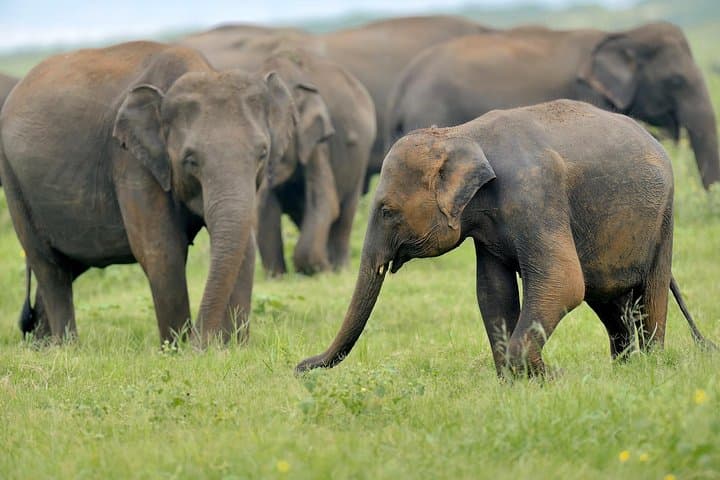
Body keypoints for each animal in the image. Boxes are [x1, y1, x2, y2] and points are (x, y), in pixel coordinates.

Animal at [0, 41, 297, 344]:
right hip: (13, 180)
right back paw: (65, 347)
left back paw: (42, 345)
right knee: (49, 267)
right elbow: (162, 251)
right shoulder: (131, 162)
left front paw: (232, 347)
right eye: (191, 160)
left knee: (67, 265)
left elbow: (245, 247)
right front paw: (178, 348)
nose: (202, 342)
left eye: (262, 153)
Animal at [181, 34, 377, 275]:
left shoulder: (318, 141)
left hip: (361, 159)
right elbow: (267, 209)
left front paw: (319, 269)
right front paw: (277, 276)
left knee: (346, 211)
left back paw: (339, 268)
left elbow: (325, 199)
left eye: (264, 150)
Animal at [296, 100, 715, 377]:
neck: (461, 133)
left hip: (664, 218)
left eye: (386, 210)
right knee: (608, 299)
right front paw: (517, 383)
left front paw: (543, 378)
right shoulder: (486, 226)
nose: (300, 366)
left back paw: (651, 365)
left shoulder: (535, 194)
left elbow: (562, 283)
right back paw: (624, 368)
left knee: (648, 293)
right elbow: (492, 292)